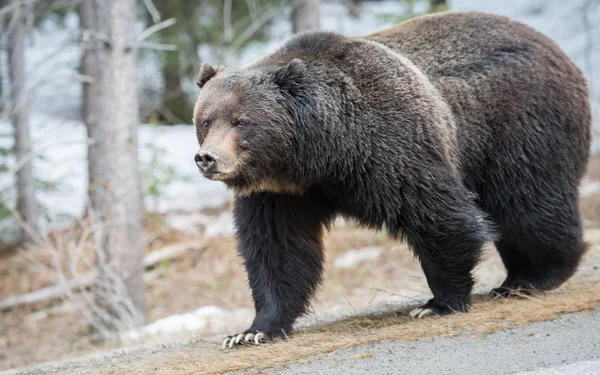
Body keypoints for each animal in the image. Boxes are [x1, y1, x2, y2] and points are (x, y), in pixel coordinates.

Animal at [191, 10, 592, 348]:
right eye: (206, 120)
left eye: (242, 121)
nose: (207, 158)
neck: (318, 156)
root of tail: (557, 50)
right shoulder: (279, 194)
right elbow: (277, 251)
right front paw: (252, 331)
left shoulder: (389, 147)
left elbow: (439, 216)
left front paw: (437, 302)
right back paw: (516, 277)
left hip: (519, 125)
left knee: (527, 204)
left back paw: (537, 275)